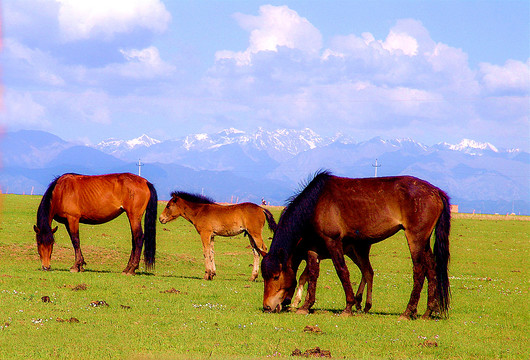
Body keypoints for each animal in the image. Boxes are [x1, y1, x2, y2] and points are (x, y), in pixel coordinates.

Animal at [258, 170, 448, 320]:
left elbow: (342, 271)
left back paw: (408, 312)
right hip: (423, 241)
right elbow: (312, 274)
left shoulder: (333, 241)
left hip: (415, 238)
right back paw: (428, 311)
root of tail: (435, 191)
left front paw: (348, 307)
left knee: (419, 270)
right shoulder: (313, 248)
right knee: (431, 269)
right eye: (264, 276)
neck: (316, 203)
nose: (267, 307)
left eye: (276, 276)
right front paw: (305, 306)